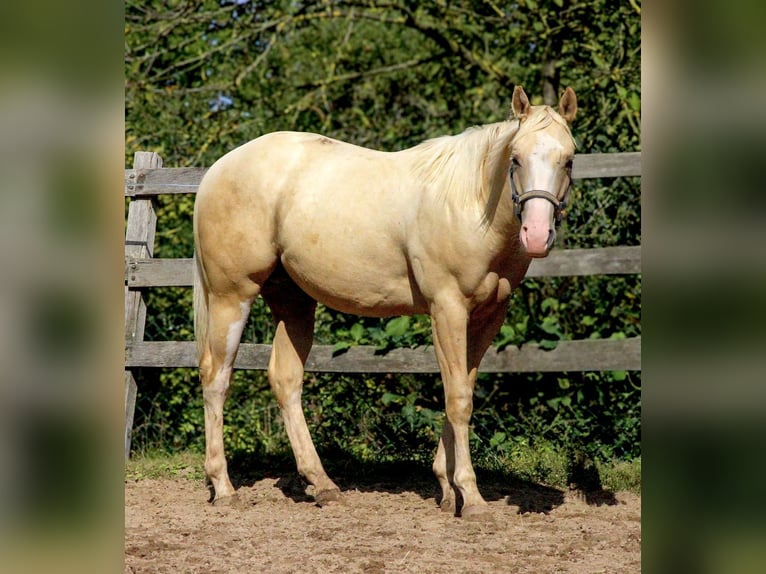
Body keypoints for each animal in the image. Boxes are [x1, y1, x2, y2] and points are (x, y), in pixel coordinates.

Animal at [192, 86, 576, 520]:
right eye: (516, 157)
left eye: (568, 159)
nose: (537, 234)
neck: (469, 203)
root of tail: (218, 169)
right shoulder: (447, 309)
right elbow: (458, 400)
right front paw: (471, 496)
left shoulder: (487, 317)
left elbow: (460, 389)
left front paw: (447, 489)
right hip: (231, 295)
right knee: (216, 377)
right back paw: (224, 487)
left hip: (293, 301)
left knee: (285, 379)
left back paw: (322, 484)